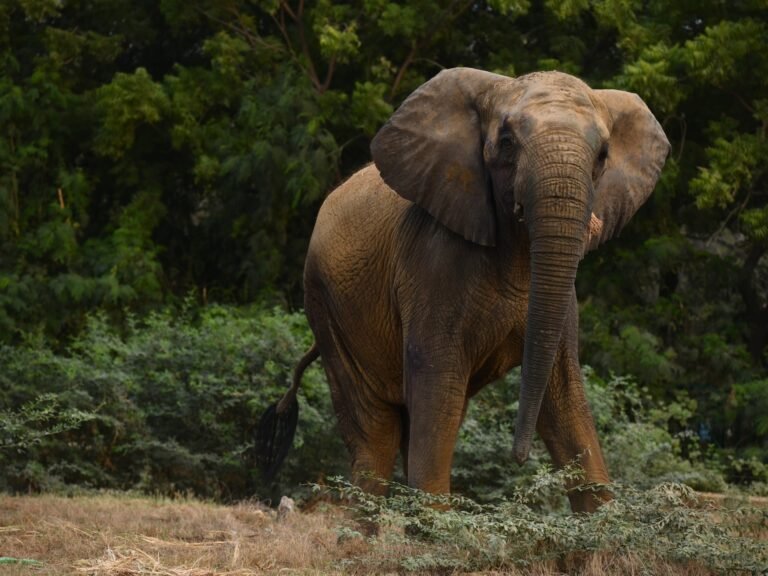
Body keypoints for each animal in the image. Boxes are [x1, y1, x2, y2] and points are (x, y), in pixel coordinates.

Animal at [260, 67, 669, 513]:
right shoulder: (432, 263)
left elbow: (564, 397)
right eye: (506, 142)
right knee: (379, 433)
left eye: (602, 156)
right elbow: (436, 382)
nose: (518, 458)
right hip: (326, 307)